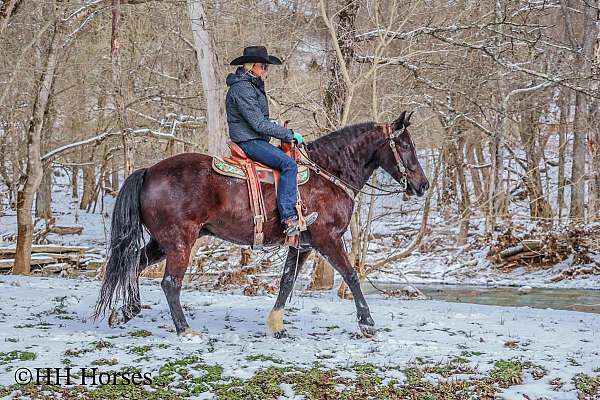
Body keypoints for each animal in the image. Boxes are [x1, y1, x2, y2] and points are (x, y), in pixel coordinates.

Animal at [94, 111, 428, 338]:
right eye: (406, 146)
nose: (423, 185)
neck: (329, 173)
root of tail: (150, 171)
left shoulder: (302, 245)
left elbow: (286, 281)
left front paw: (276, 325)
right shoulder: (327, 239)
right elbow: (351, 275)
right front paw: (367, 323)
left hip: (161, 243)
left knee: (134, 264)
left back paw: (125, 311)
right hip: (180, 243)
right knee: (170, 283)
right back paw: (184, 330)